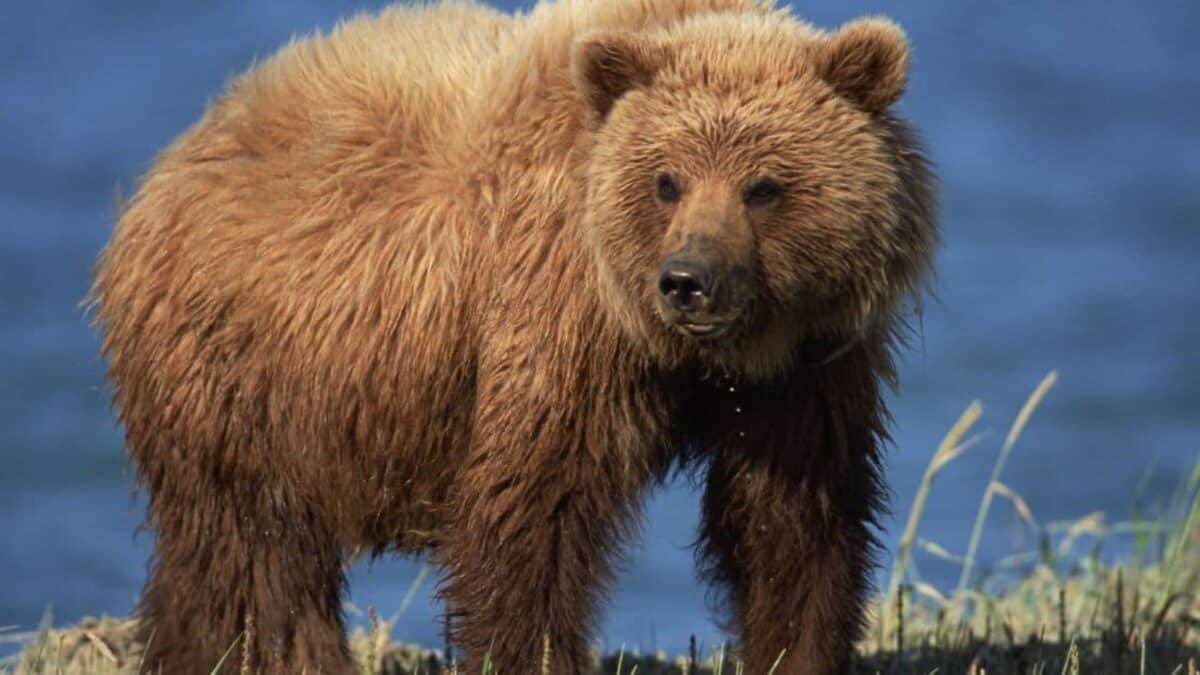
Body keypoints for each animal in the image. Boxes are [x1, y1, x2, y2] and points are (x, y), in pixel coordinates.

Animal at [89, 0, 936, 672]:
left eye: (764, 186)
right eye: (666, 180)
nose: (688, 279)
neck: (687, 354)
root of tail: (173, 158)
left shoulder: (807, 363)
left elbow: (792, 521)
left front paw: (797, 646)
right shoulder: (556, 321)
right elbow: (531, 515)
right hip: (238, 370)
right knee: (256, 557)